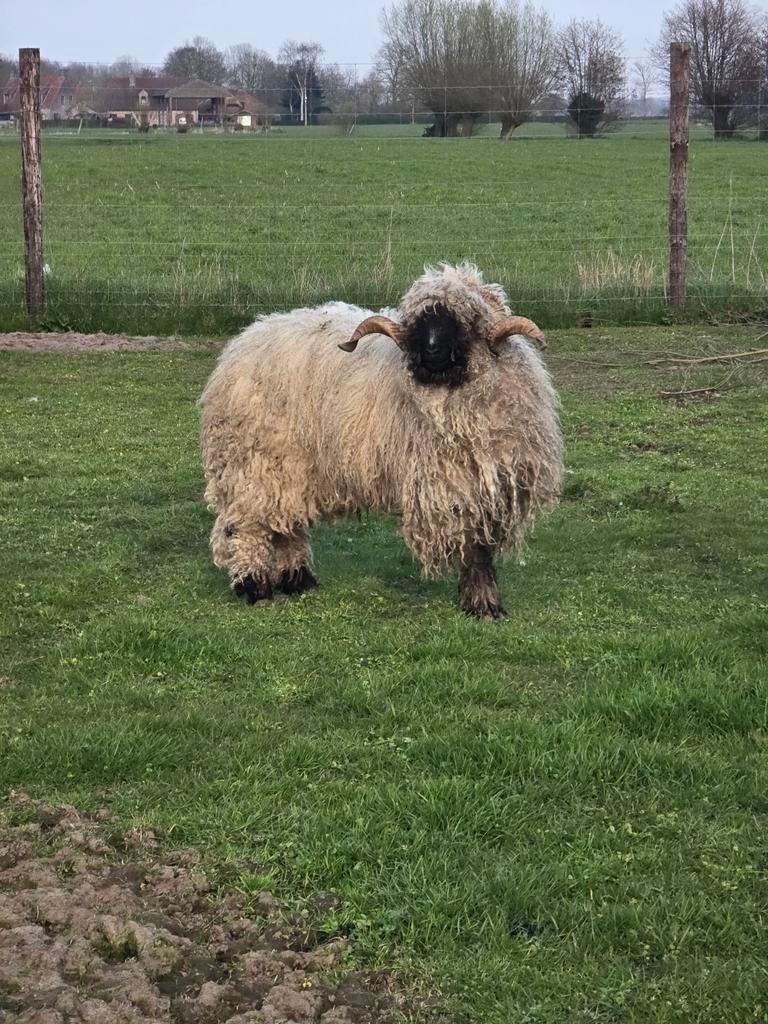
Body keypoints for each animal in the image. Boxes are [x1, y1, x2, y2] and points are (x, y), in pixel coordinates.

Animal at [200, 263, 563, 619]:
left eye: (468, 320)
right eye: (418, 324)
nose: (431, 350)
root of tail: (245, 340)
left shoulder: (489, 486)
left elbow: (482, 548)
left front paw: (484, 601)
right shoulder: (450, 485)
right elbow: (473, 548)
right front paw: (483, 605)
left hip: (291, 470)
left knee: (287, 523)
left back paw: (299, 580)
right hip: (253, 464)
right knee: (245, 526)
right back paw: (253, 585)